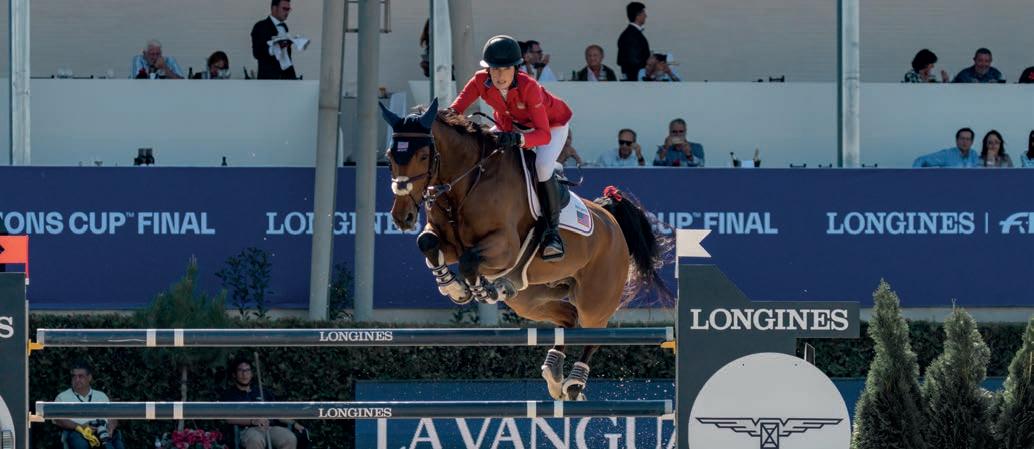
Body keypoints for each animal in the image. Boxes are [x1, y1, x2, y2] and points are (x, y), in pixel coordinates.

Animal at [379, 99, 670, 400]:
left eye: (424, 156)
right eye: (390, 156)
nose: (402, 217)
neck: (468, 182)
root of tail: (610, 218)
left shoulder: (504, 246)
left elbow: (470, 260)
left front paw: (481, 290)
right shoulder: (449, 244)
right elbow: (427, 243)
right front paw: (454, 288)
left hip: (595, 297)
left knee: (594, 330)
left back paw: (574, 383)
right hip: (532, 299)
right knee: (569, 317)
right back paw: (554, 374)